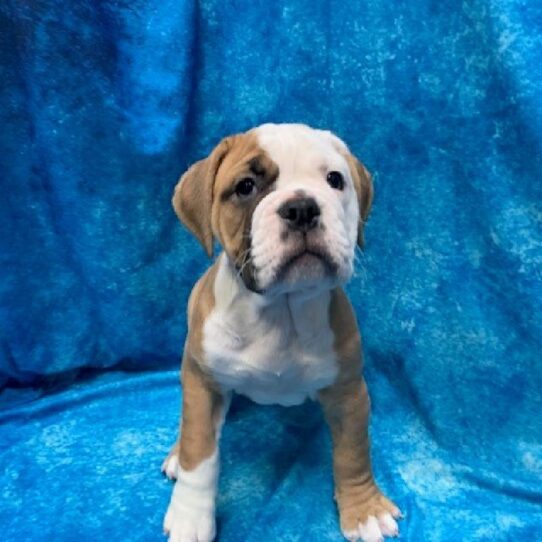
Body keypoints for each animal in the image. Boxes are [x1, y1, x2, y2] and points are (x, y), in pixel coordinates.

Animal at [164, 124, 402, 542]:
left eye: (335, 180)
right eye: (245, 186)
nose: (302, 207)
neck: (280, 310)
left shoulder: (349, 394)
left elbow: (353, 453)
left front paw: (364, 510)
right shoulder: (203, 383)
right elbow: (200, 452)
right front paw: (190, 517)